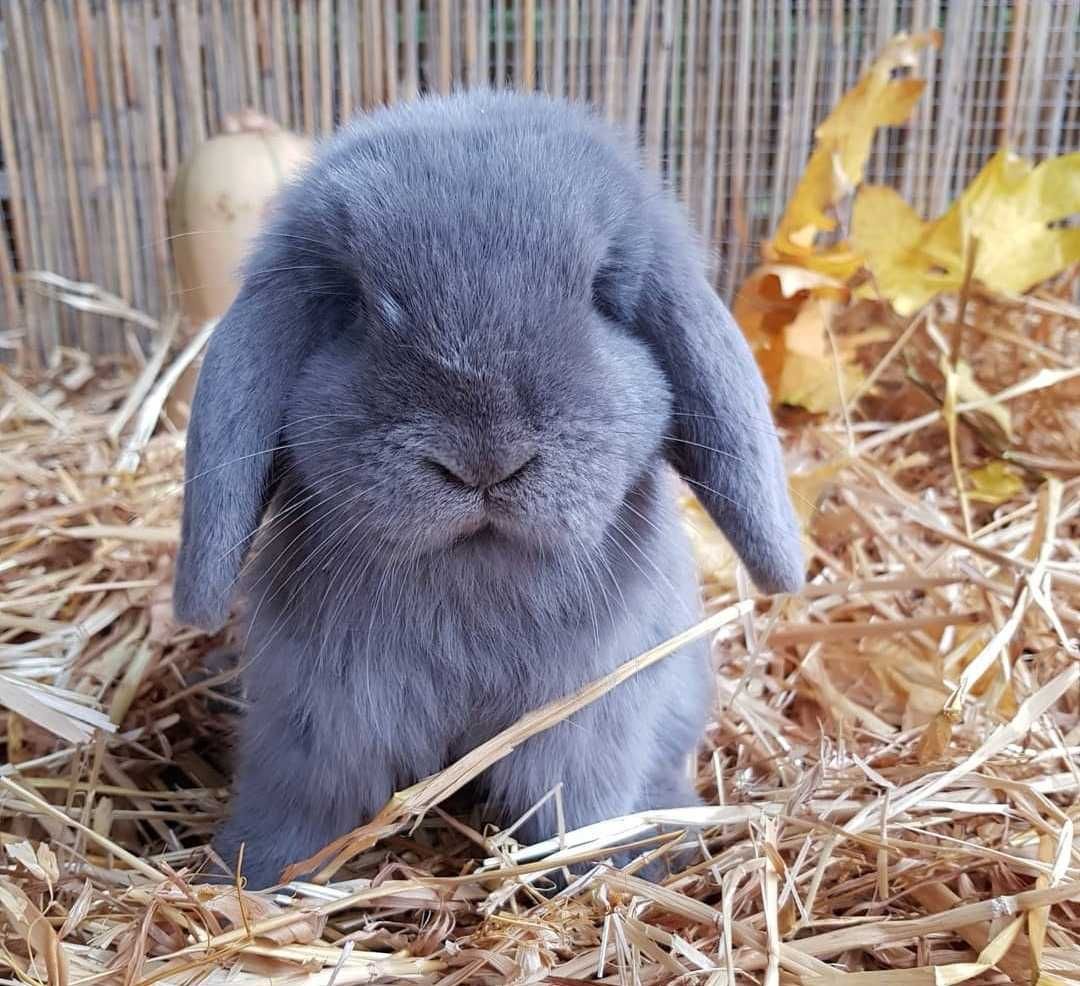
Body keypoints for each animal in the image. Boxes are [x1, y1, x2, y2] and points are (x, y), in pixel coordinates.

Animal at [174, 90, 803, 894]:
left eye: (601, 292)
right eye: (352, 304)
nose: (485, 458)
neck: (473, 575)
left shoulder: (585, 724)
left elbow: (578, 804)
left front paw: (604, 872)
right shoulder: (318, 720)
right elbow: (304, 804)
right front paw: (248, 874)